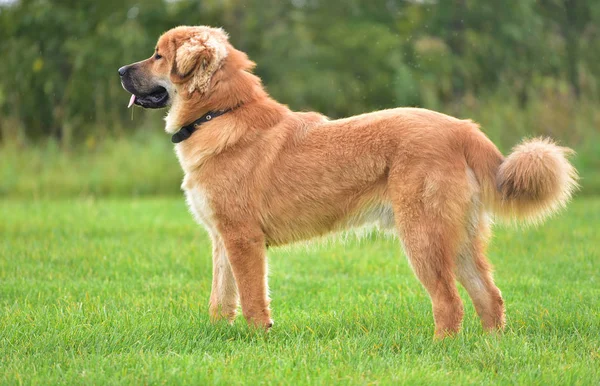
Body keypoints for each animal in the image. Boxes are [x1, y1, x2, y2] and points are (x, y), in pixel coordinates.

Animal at [119, 24, 580, 338]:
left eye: (158, 56)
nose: (121, 70)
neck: (221, 113)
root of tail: (463, 129)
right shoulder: (222, 240)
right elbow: (221, 299)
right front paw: (221, 337)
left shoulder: (243, 239)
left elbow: (250, 299)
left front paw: (256, 338)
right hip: (459, 239)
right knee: (489, 297)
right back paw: (489, 345)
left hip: (423, 237)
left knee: (450, 303)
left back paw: (441, 348)